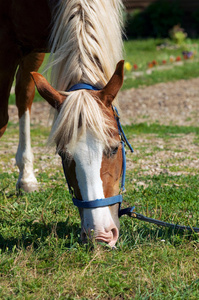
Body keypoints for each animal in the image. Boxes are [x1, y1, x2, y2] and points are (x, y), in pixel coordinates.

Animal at [0, 0, 124, 246]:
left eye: (115, 148)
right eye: (62, 154)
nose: (100, 235)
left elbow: (25, 93)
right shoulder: (5, 43)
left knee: (24, 93)